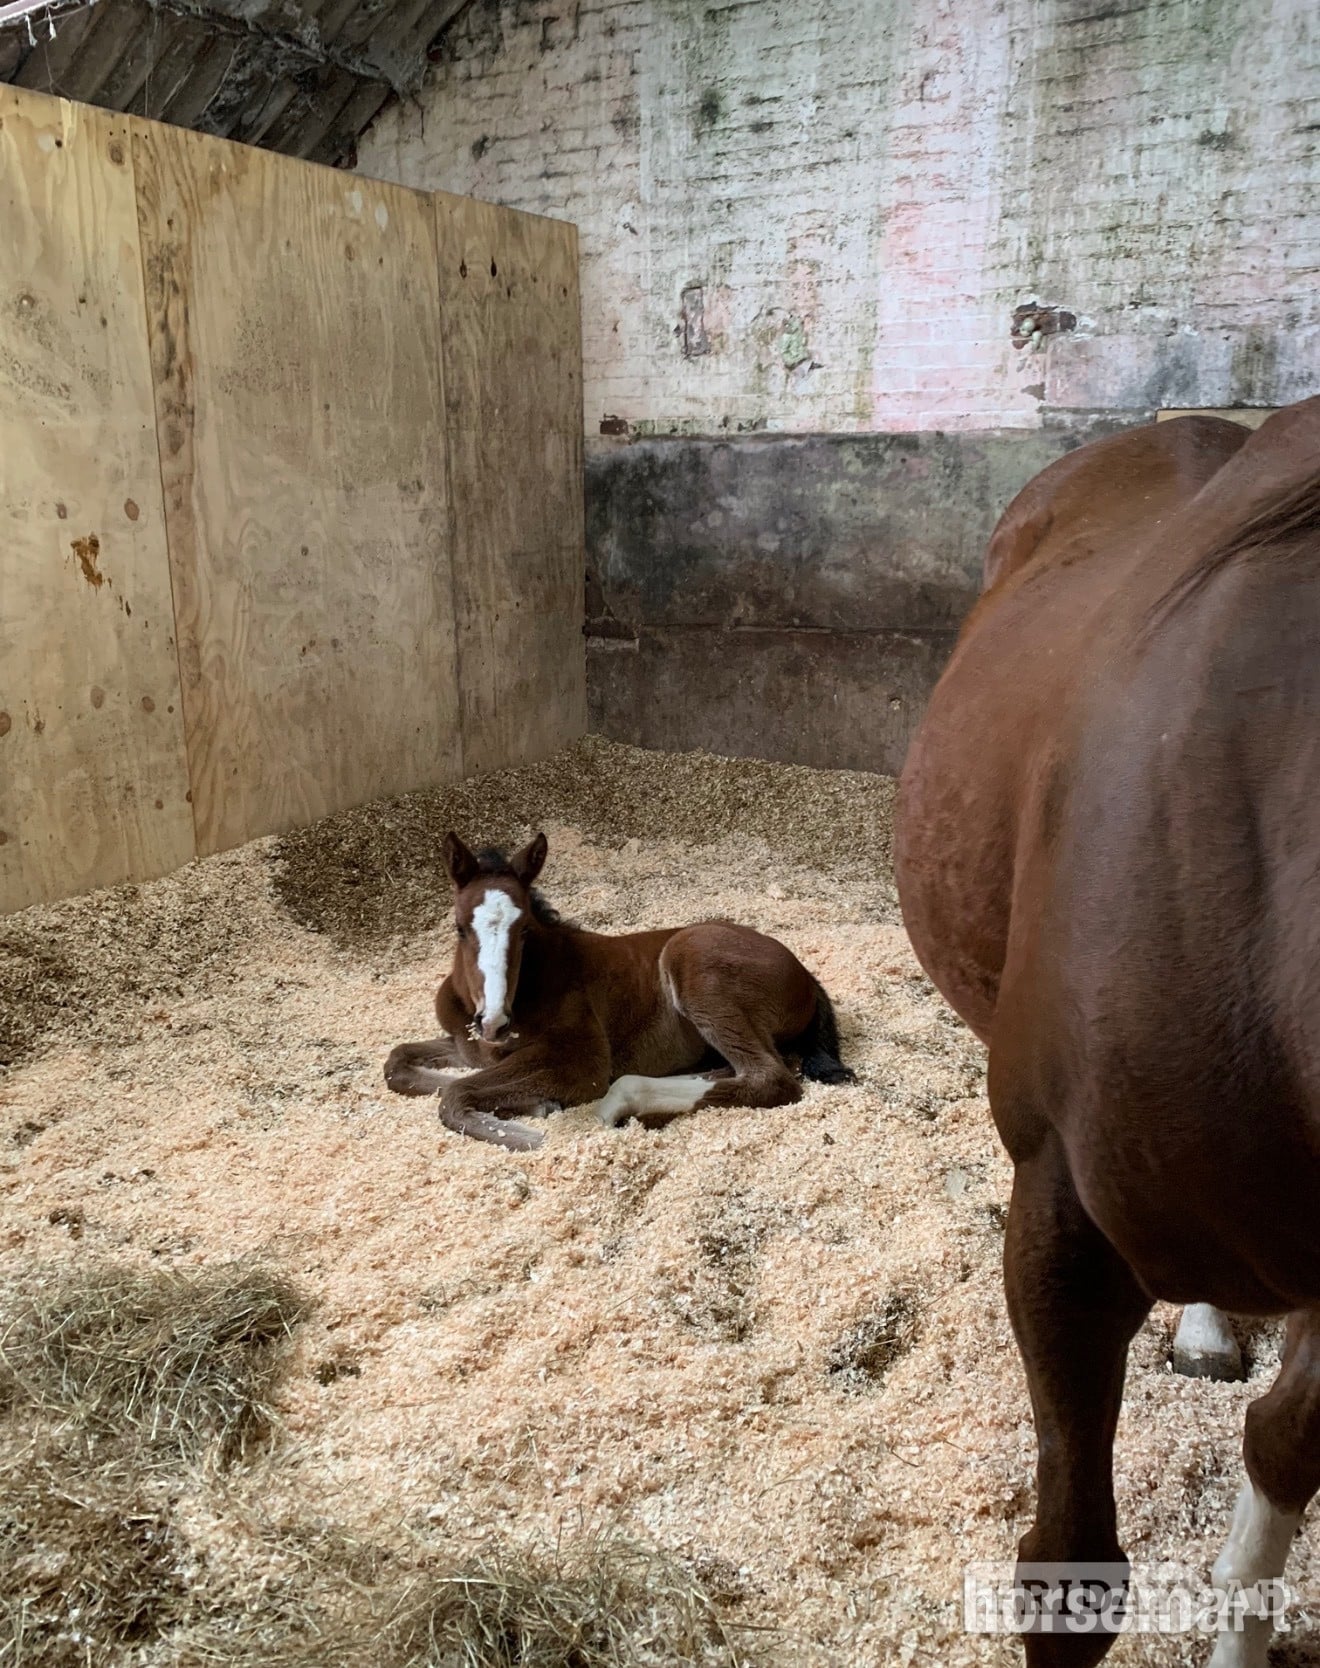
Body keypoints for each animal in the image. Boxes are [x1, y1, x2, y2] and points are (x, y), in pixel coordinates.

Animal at [384, 831, 854, 1150]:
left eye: (525, 931)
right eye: (459, 928)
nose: (495, 1022)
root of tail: (805, 973)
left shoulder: (580, 1061)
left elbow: (456, 1093)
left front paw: (532, 1125)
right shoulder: (466, 1047)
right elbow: (399, 1064)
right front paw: (531, 1105)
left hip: (697, 968)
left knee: (770, 1077)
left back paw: (621, 1105)